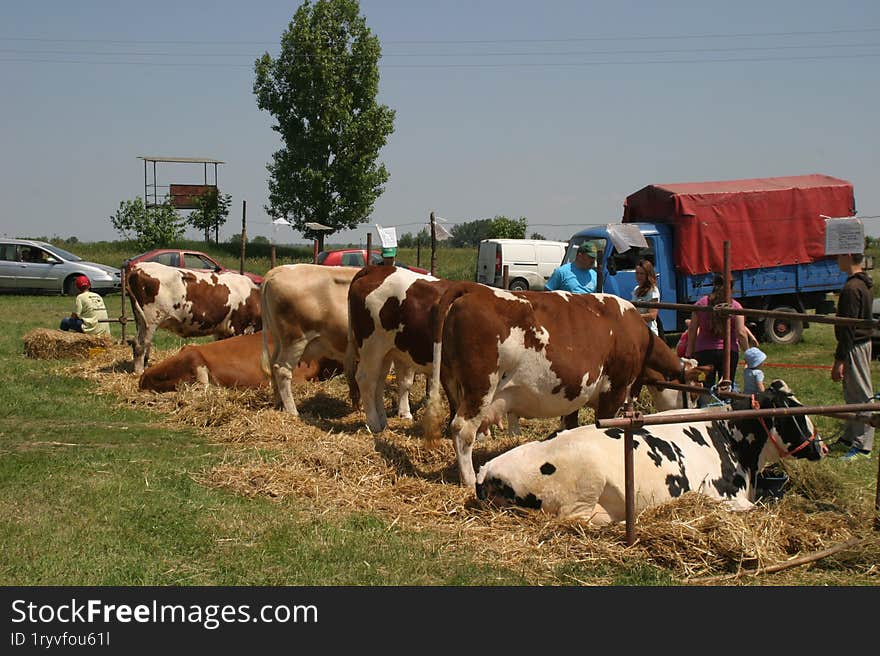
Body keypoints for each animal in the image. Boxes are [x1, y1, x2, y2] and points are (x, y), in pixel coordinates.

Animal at [126, 262, 262, 374]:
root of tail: (138, 268)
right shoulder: (239, 327)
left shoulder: (221, 330)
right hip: (151, 320)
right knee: (140, 344)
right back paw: (139, 371)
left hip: (141, 321)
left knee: (144, 345)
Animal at [422, 288, 704, 486]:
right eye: (692, 393)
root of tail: (471, 290)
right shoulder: (614, 390)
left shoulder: (574, 393)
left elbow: (570, 429)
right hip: (480, 387)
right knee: (462, 430)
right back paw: (469, 479)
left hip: (453, 384)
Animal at [474, 380, 824, 524]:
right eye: (794, 412)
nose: (821, 446)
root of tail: (487, 468)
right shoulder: (721, 495)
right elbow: (754, 509)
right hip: (585, 485)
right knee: (579, 519)